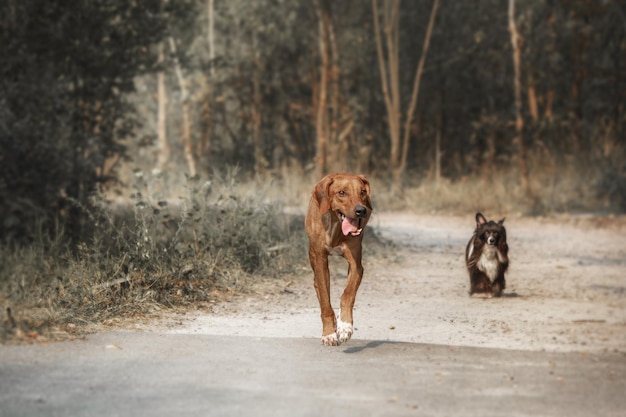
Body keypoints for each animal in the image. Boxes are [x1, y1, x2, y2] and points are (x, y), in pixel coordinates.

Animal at [304, 172, 370, 344]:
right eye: (341, 192)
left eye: (362, 192)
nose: (361, 210)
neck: (335, 224)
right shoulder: (320, 261)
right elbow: (325, 302)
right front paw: (329, 333)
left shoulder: (356, 265)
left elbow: (347, 294)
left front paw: (345, 326)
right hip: (312, 256)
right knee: (318, 285)